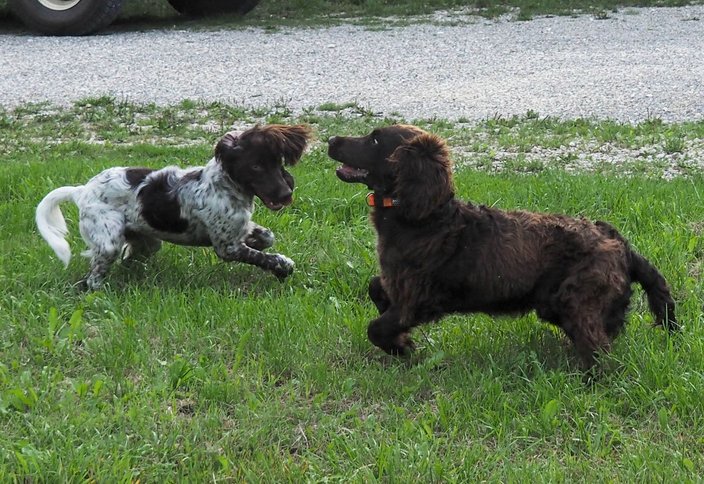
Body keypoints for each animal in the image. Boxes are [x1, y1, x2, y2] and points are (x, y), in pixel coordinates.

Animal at [36, 124, 312, 290]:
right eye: (255, 166)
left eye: (277, 162)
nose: (286, 194)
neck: (226, 186)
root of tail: (82, 190)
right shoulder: (227, 248)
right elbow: (266, 257)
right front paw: (282, 266)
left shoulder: (237, 230)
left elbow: (267, 236)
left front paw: (259, 241)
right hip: (108, 243)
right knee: (93, 278)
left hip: (147, 241)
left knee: (129, 258)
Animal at [328, 124, 678, 368]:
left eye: (375, 140)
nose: (331, 140)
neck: (425, 217)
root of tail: (621, 244)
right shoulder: (398, 285)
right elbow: (376, 287)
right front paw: (400, 340)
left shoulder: (419, 299)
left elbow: (376, 327)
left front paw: (401, 347)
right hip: (559, 303)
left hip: (577, 300)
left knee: (602, 353)